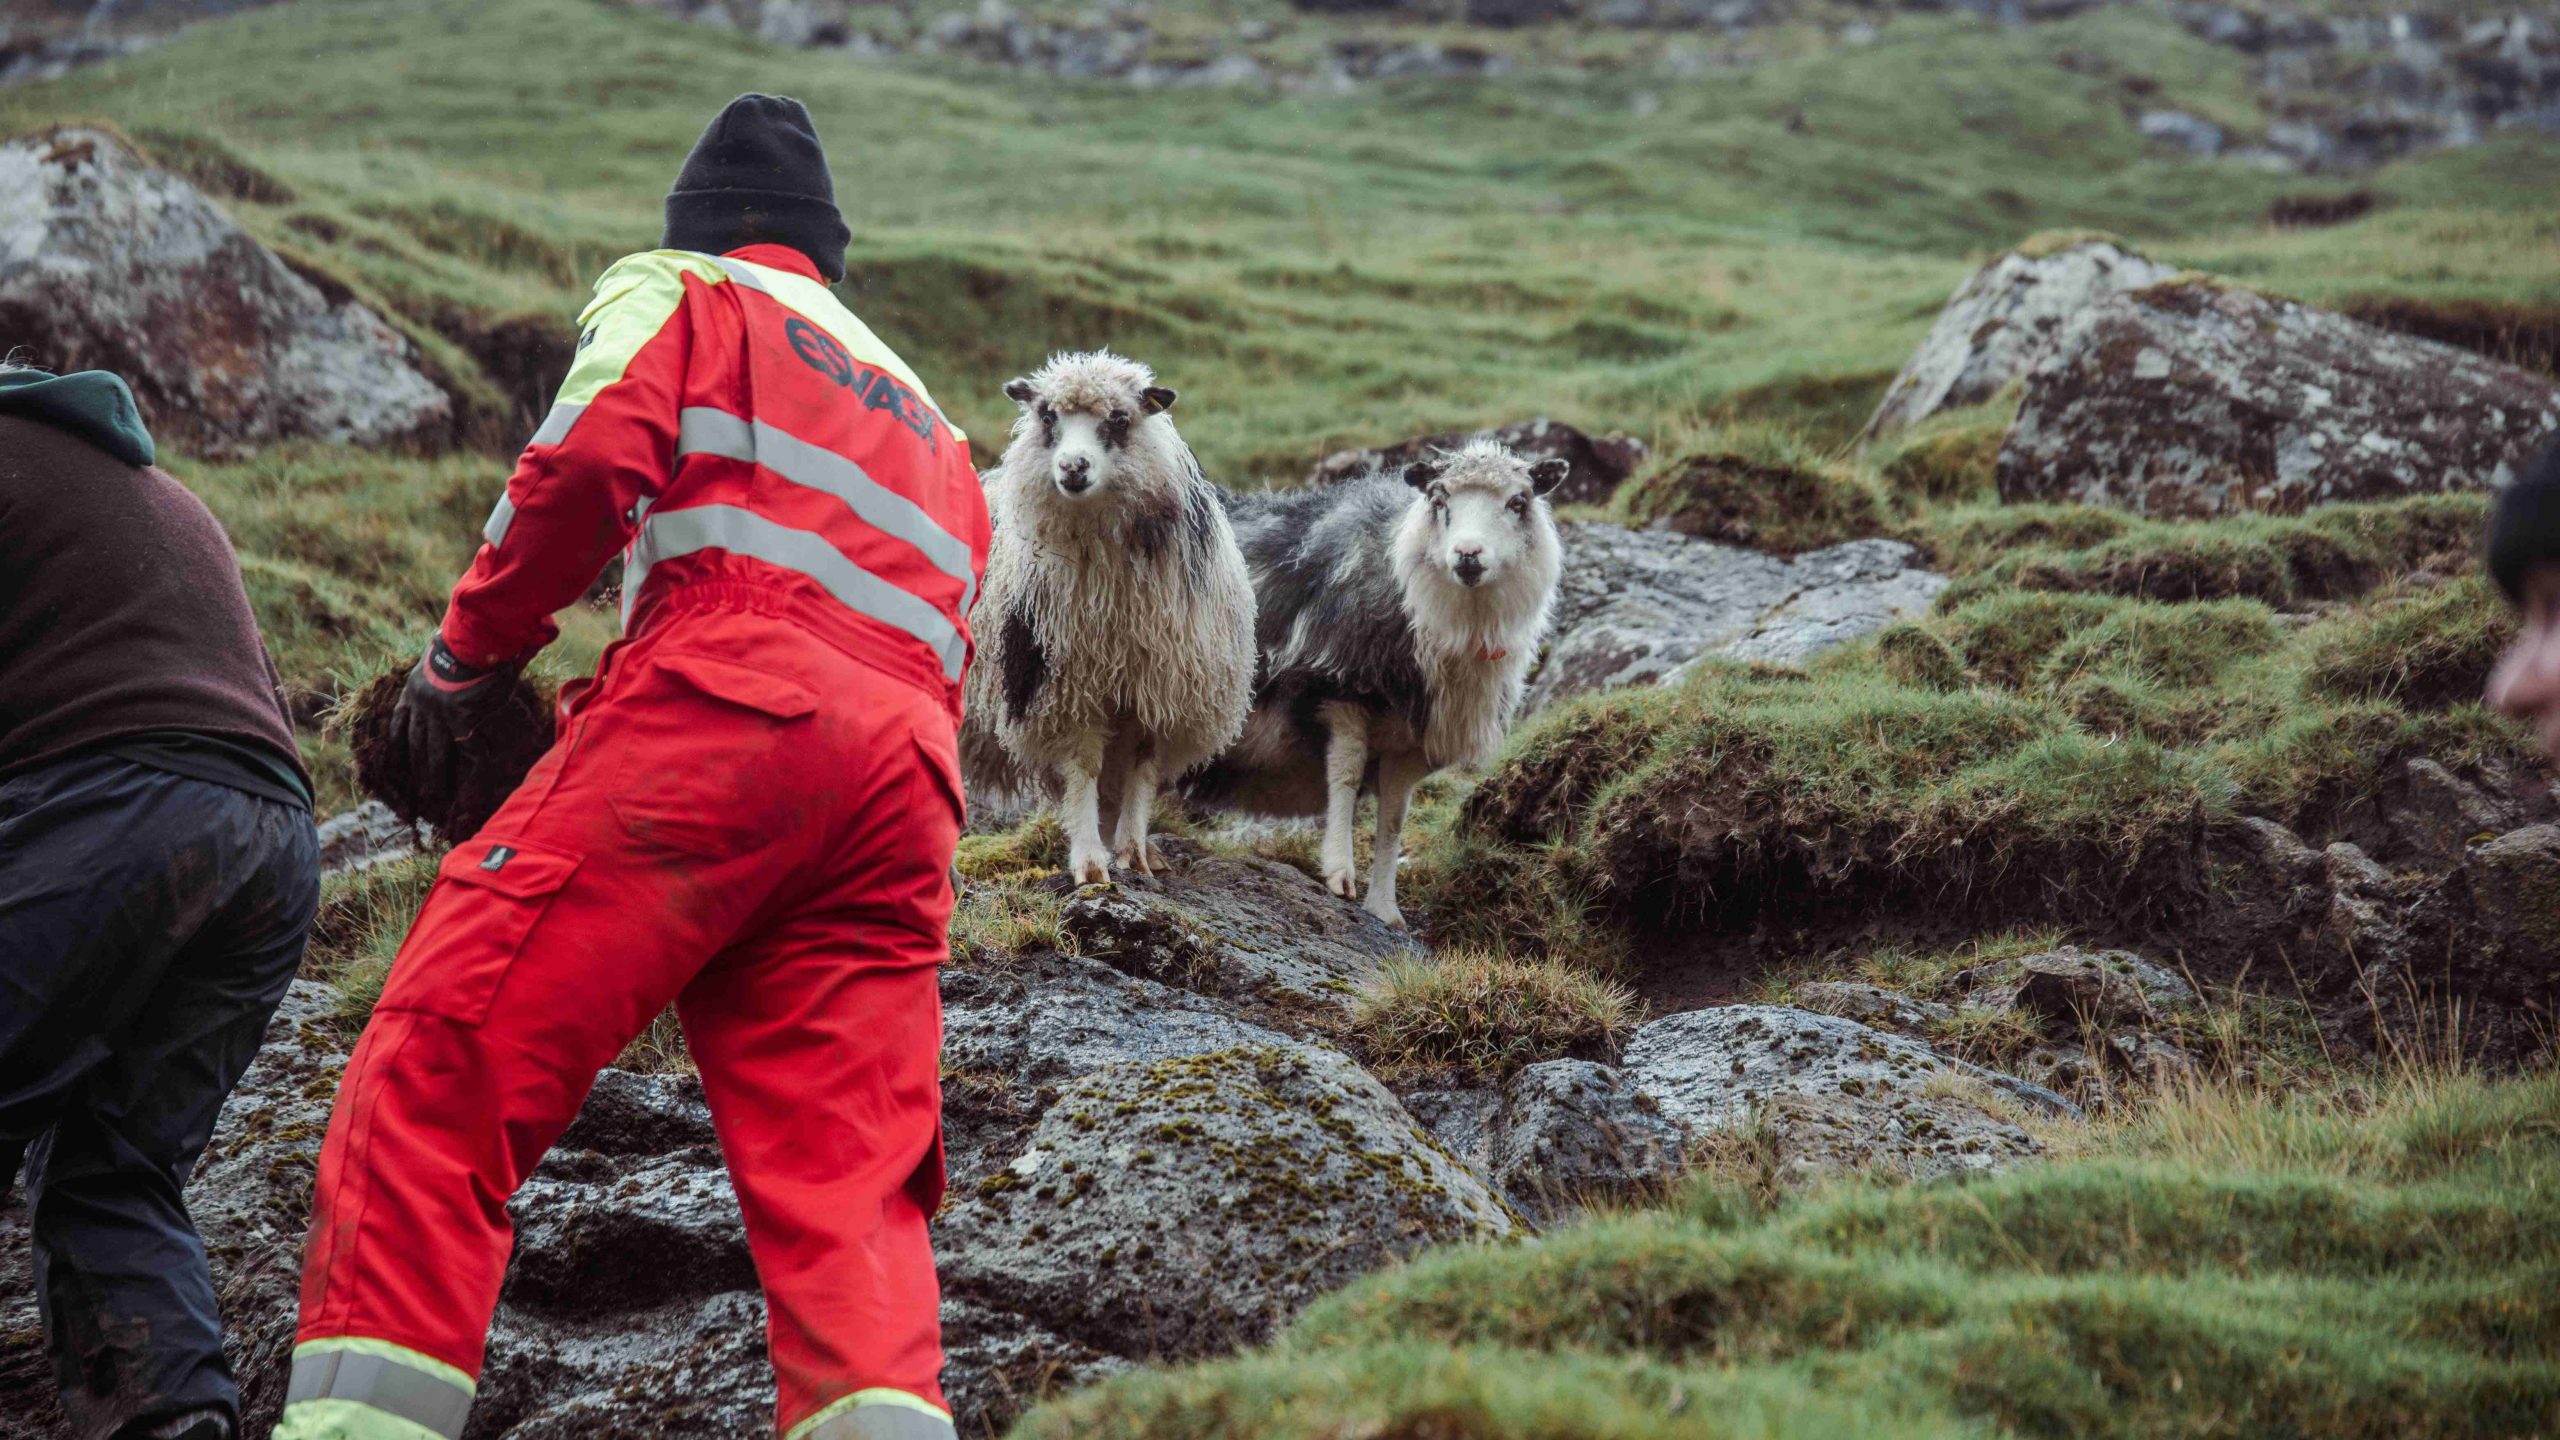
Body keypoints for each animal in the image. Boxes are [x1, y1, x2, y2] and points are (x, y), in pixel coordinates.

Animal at [963, 351, 1256, 883]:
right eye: (1047, 416)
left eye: (1119, 419)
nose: (1072, 467)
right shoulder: (1068, 690)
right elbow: (1084, 771)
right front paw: (1090, 863)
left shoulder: (1157, 690)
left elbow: (1139, 774)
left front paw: (1133, 852)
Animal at [1187, 438, 1566, 927]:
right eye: (1439, 501)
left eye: (1518, 502)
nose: (1468, 554)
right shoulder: (1338, 686)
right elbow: (1345, 775)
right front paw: (1339, 873)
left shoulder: (1413, 741)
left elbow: (1393, 819)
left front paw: (1385, 909)